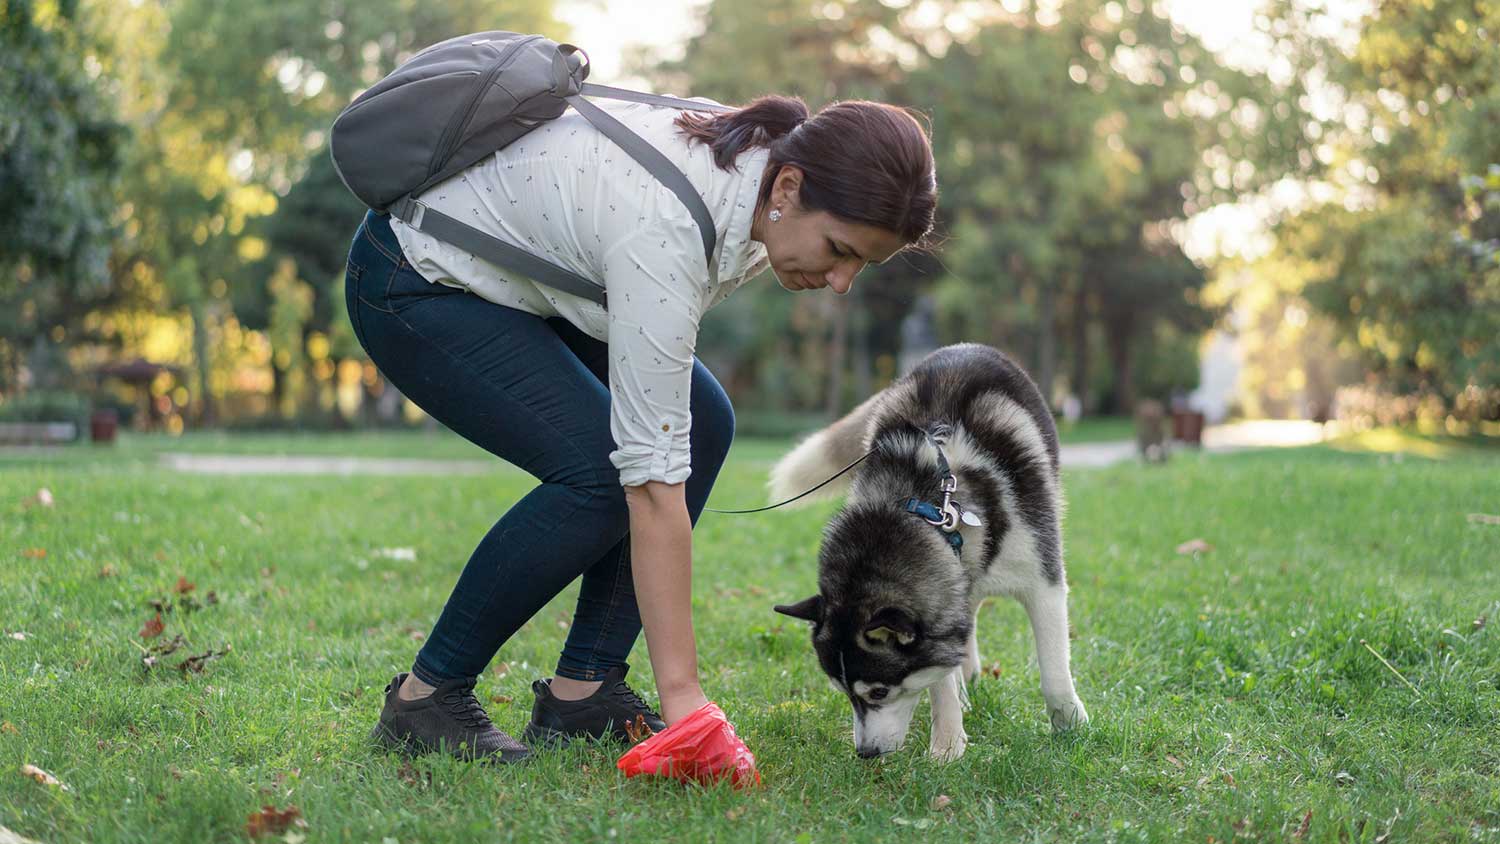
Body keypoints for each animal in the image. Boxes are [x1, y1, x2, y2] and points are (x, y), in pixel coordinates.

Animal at [774, 340, 1092, 761]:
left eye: (879, 692)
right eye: (844, 693)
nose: (866, 753)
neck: (931, 506)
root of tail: (964, 346)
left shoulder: (1043, 579)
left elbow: (1054, 669)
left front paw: (1071, 725)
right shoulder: (945, 597)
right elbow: (940, 679)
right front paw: (947, 744)